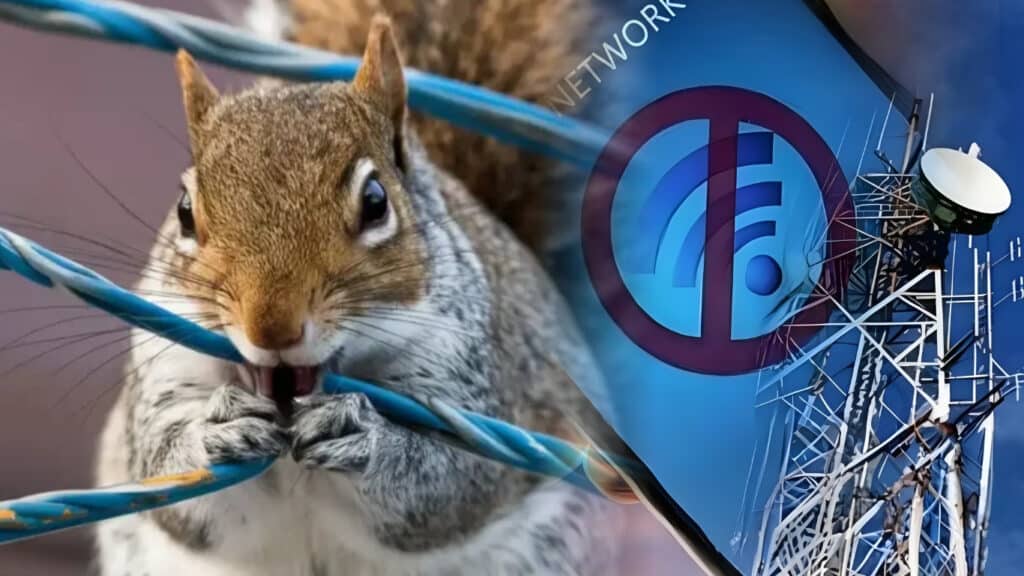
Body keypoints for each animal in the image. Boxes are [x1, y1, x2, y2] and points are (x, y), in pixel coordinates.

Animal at [93, 1, 624, 575]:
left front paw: (365, 437)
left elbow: (449, 483)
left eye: (376, 202)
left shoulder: (473, 373)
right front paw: (216, 429)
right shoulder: (165, 365)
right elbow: (169, 481)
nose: (272, 328)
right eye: (185, 212)